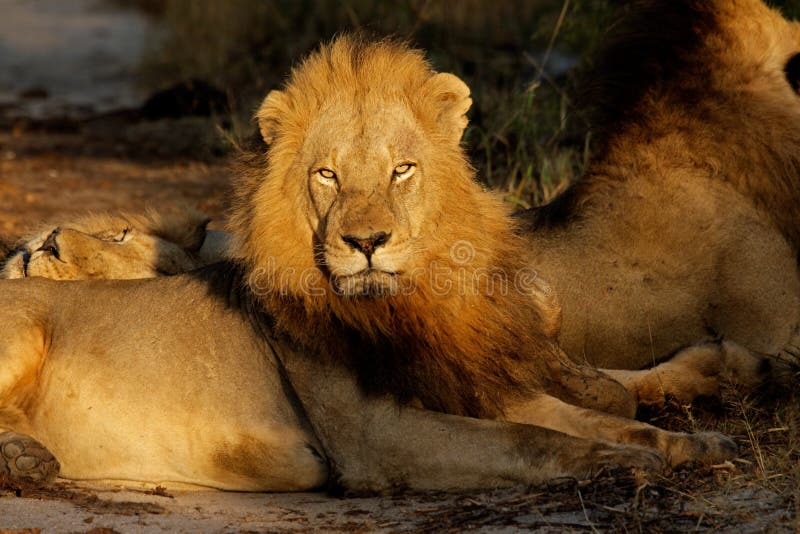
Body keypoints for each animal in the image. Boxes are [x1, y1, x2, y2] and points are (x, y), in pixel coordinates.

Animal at [0, 36, 736, 494]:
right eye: (327, 176)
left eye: (400, 170)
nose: (368, 240)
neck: (407, 309)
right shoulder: (376, 437)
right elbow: (531, 440)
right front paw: (625, 463)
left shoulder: (475, 385)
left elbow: (587, 415)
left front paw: (686, 446)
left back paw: (28, 457)